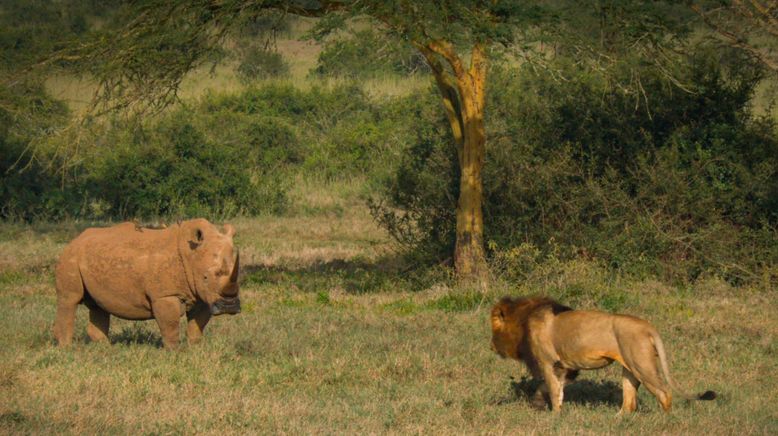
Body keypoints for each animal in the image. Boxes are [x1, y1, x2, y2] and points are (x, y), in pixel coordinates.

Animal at [492, 296, 716, 412]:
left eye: (494, 330)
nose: (492, 346)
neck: (524, 318)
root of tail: (648, 327)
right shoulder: (566, 368)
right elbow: (550, 388)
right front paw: (540, 404)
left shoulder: (548, 363)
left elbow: (553, 390)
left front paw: (554, 414)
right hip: (630, 369)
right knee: (629, 401)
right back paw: (618, 419)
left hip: (642, 365)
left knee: (664, 392)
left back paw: (665, 419)